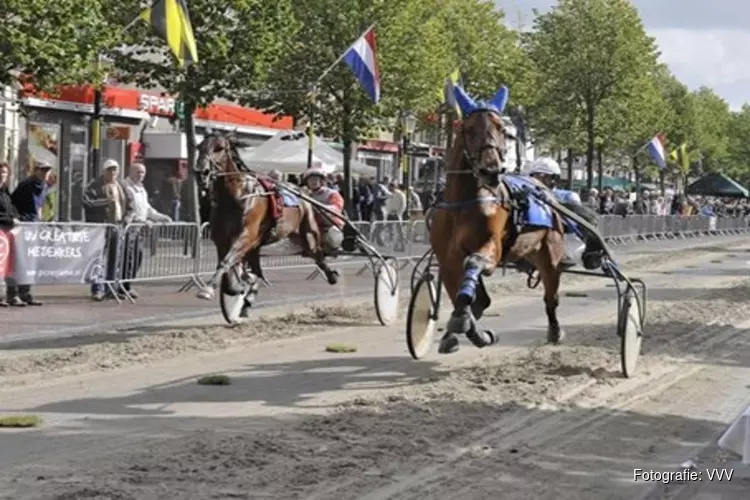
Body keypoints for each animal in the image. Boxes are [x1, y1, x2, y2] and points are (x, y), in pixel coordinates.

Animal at [194, 130, 338, 316]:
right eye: (199, 147)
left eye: (219, 148)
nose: (201, 172)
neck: (236, 196)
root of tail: (302, 191)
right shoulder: (222, 240)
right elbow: (228, 267)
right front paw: (237, 287)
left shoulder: (246, 235)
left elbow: (226, 262)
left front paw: (208, 289)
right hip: (258, 246)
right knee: (258, 271)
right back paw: (248, 297)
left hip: (308, 235)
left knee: (318, 255)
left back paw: (332, 275)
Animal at [432, 84, 572, 354]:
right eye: (468, 129)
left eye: (503, 130)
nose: (492, 170)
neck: (462, 204)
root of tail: (543, 188)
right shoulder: (447, 258)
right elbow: (464, 297)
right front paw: (463, 331)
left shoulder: (492, 245)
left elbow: (474, 263)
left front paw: (467, 324)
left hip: (550, 252)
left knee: (551, 296)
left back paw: (555, 330)